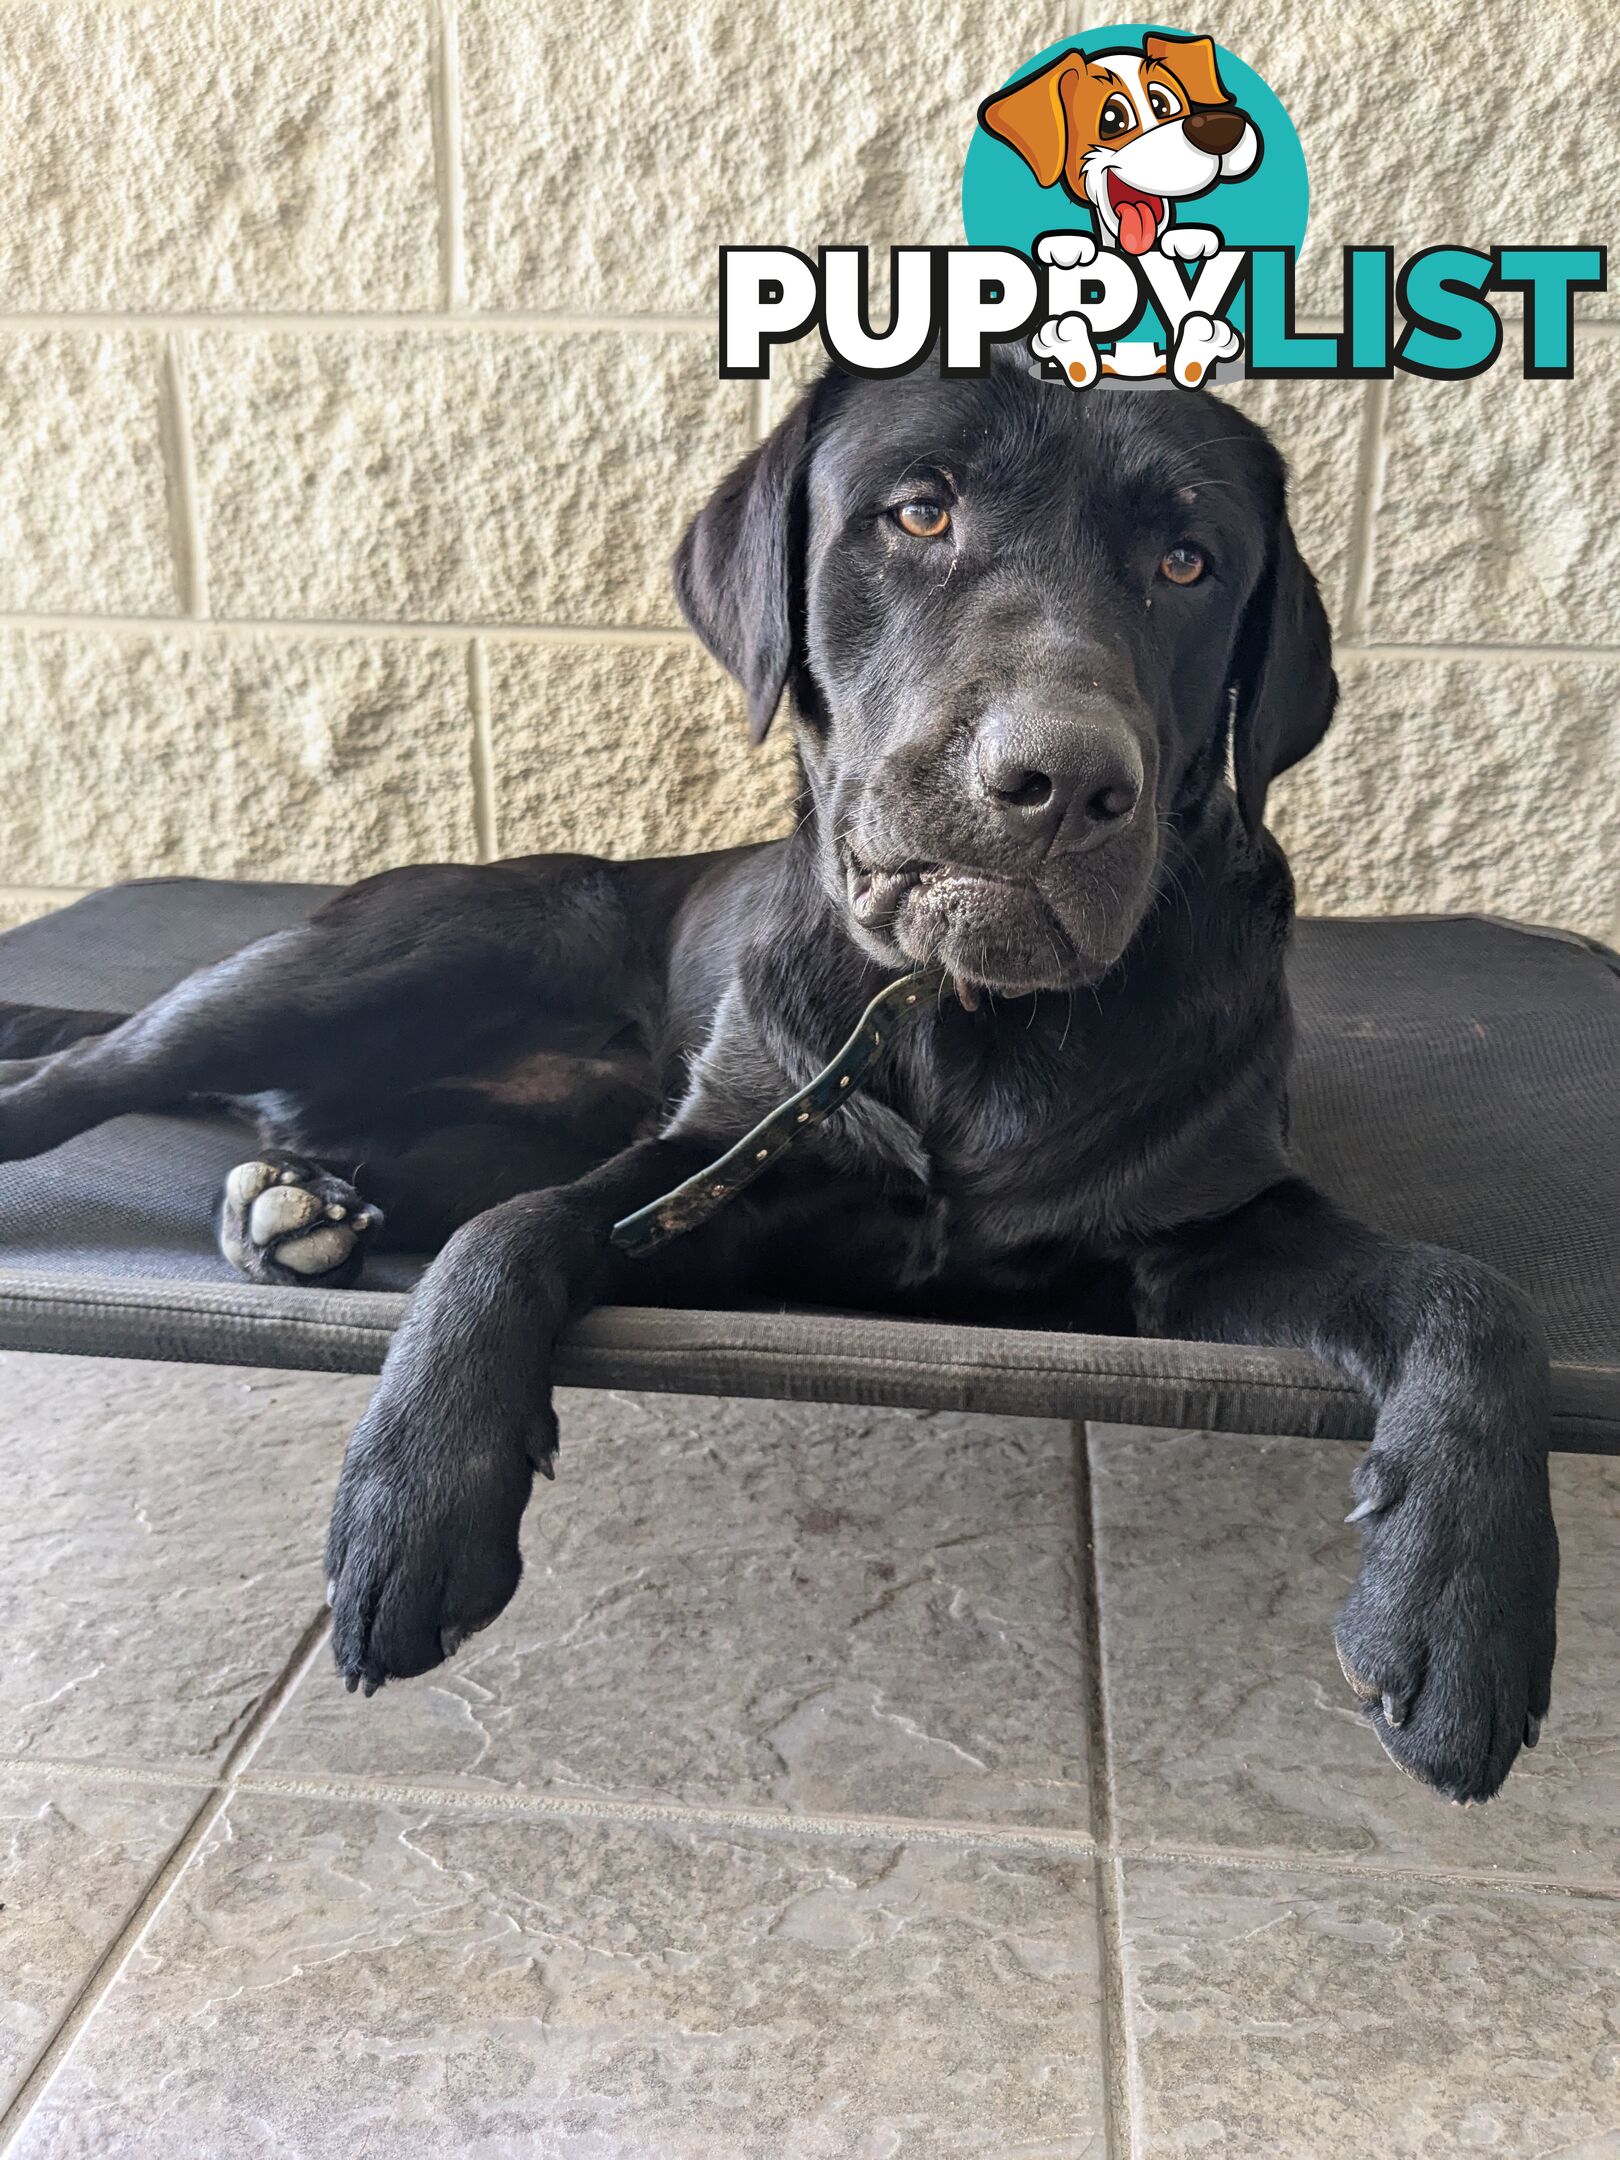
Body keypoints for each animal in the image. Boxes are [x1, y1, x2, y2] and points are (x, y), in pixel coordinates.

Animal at [0, 358, 1563, 1805]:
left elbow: (1469, 1292)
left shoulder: (1204, 1236)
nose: (1058, 781)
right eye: (919, 512)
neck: (955, 1018)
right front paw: (417, 1496)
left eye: (1189, 561)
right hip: (395, 953)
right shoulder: (717, 1170)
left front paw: (1462, 1609)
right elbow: (509, 1241)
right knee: (109, 1063)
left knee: (375, 1153)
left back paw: (300, 1201)